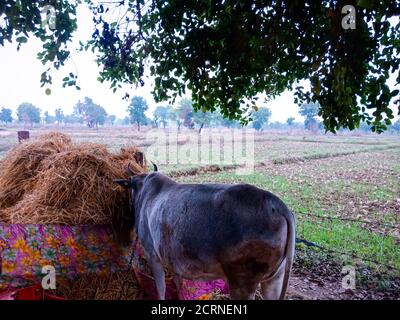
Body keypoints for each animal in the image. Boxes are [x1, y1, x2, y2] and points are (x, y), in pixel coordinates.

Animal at [114, 164, 296, 302]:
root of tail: (275, 203)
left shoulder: (152, 255)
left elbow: (161, 289)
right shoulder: (173, 260)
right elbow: (178, 285)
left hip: (243, 282)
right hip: (274, 279)